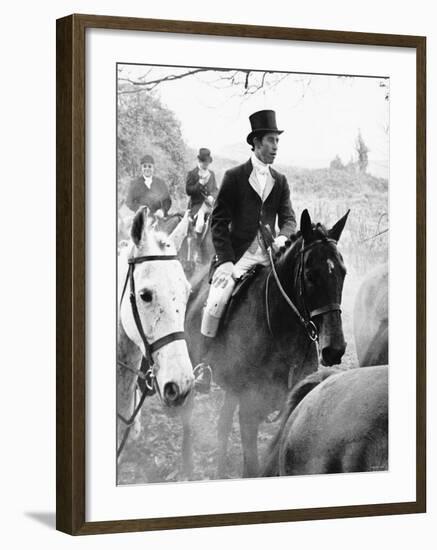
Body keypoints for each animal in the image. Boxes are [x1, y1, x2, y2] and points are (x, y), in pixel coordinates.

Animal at [186, 211, 350, 478]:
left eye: (343, 273)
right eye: (310, 275)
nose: (334, 349)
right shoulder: (249, 412)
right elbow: (252, 468)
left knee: (222, 426)